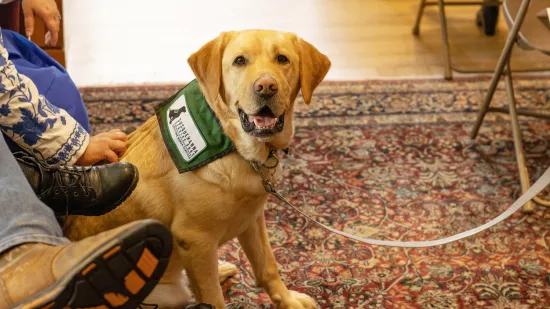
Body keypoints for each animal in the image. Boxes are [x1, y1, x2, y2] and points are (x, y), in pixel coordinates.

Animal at [64, 29, 332, 308]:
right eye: (239, 61)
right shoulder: (194, 238)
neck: (233, 146)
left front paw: (288, 300)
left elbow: (268, 266)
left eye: (282, 59)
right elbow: (214, 298)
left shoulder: (252, 218)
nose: (266, 86)